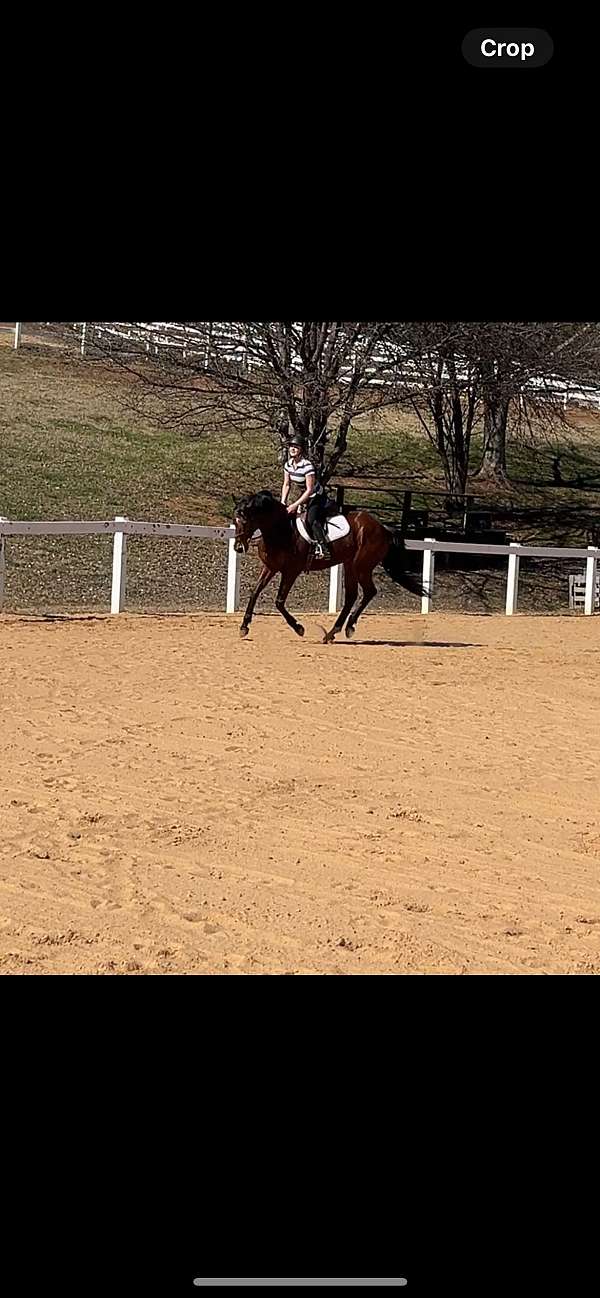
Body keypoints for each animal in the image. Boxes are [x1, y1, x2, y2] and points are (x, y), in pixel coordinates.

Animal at [232, 488, 423, 641]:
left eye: (245, 520)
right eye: (234, 521)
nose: (238, 547)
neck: (281, 531)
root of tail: (383, 528)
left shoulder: (291, 571)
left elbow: (279, 601)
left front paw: (299, 628)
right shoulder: (270, 568)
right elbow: (255, 592)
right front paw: (244, 627)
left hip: (362, 566)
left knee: (369, 592)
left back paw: (349, 627)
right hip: (349, 565)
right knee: (352, 596)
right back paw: (333, 632)